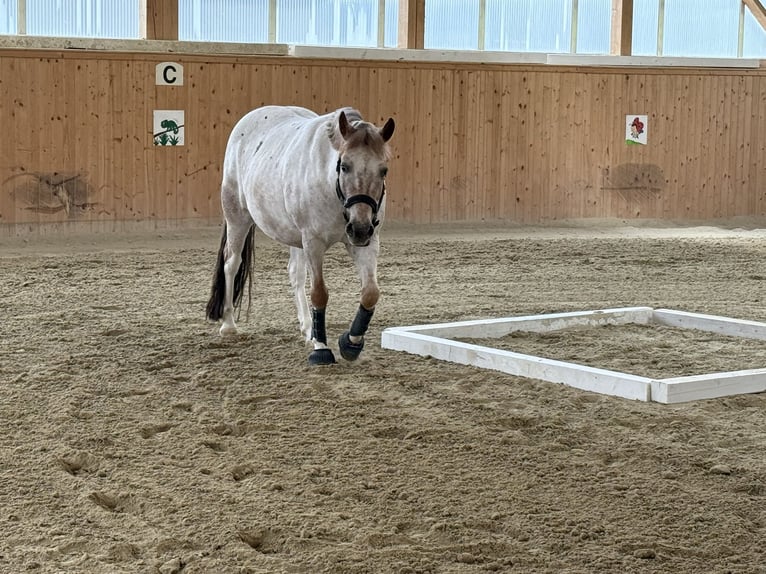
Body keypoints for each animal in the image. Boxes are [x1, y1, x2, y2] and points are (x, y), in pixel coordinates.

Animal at [205, 105, 395, 365]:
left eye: (384, 170)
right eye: (344, 166)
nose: (360, 228)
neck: (331, 187)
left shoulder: (366, 243)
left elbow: (370, 293)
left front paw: (350, 344)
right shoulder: (313, 242)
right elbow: (319, 293)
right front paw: (321, 349)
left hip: (296, 238)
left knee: (296, 274)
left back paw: (308, 328)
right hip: (237, 218)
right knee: (231, 265)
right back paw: (229, 324)